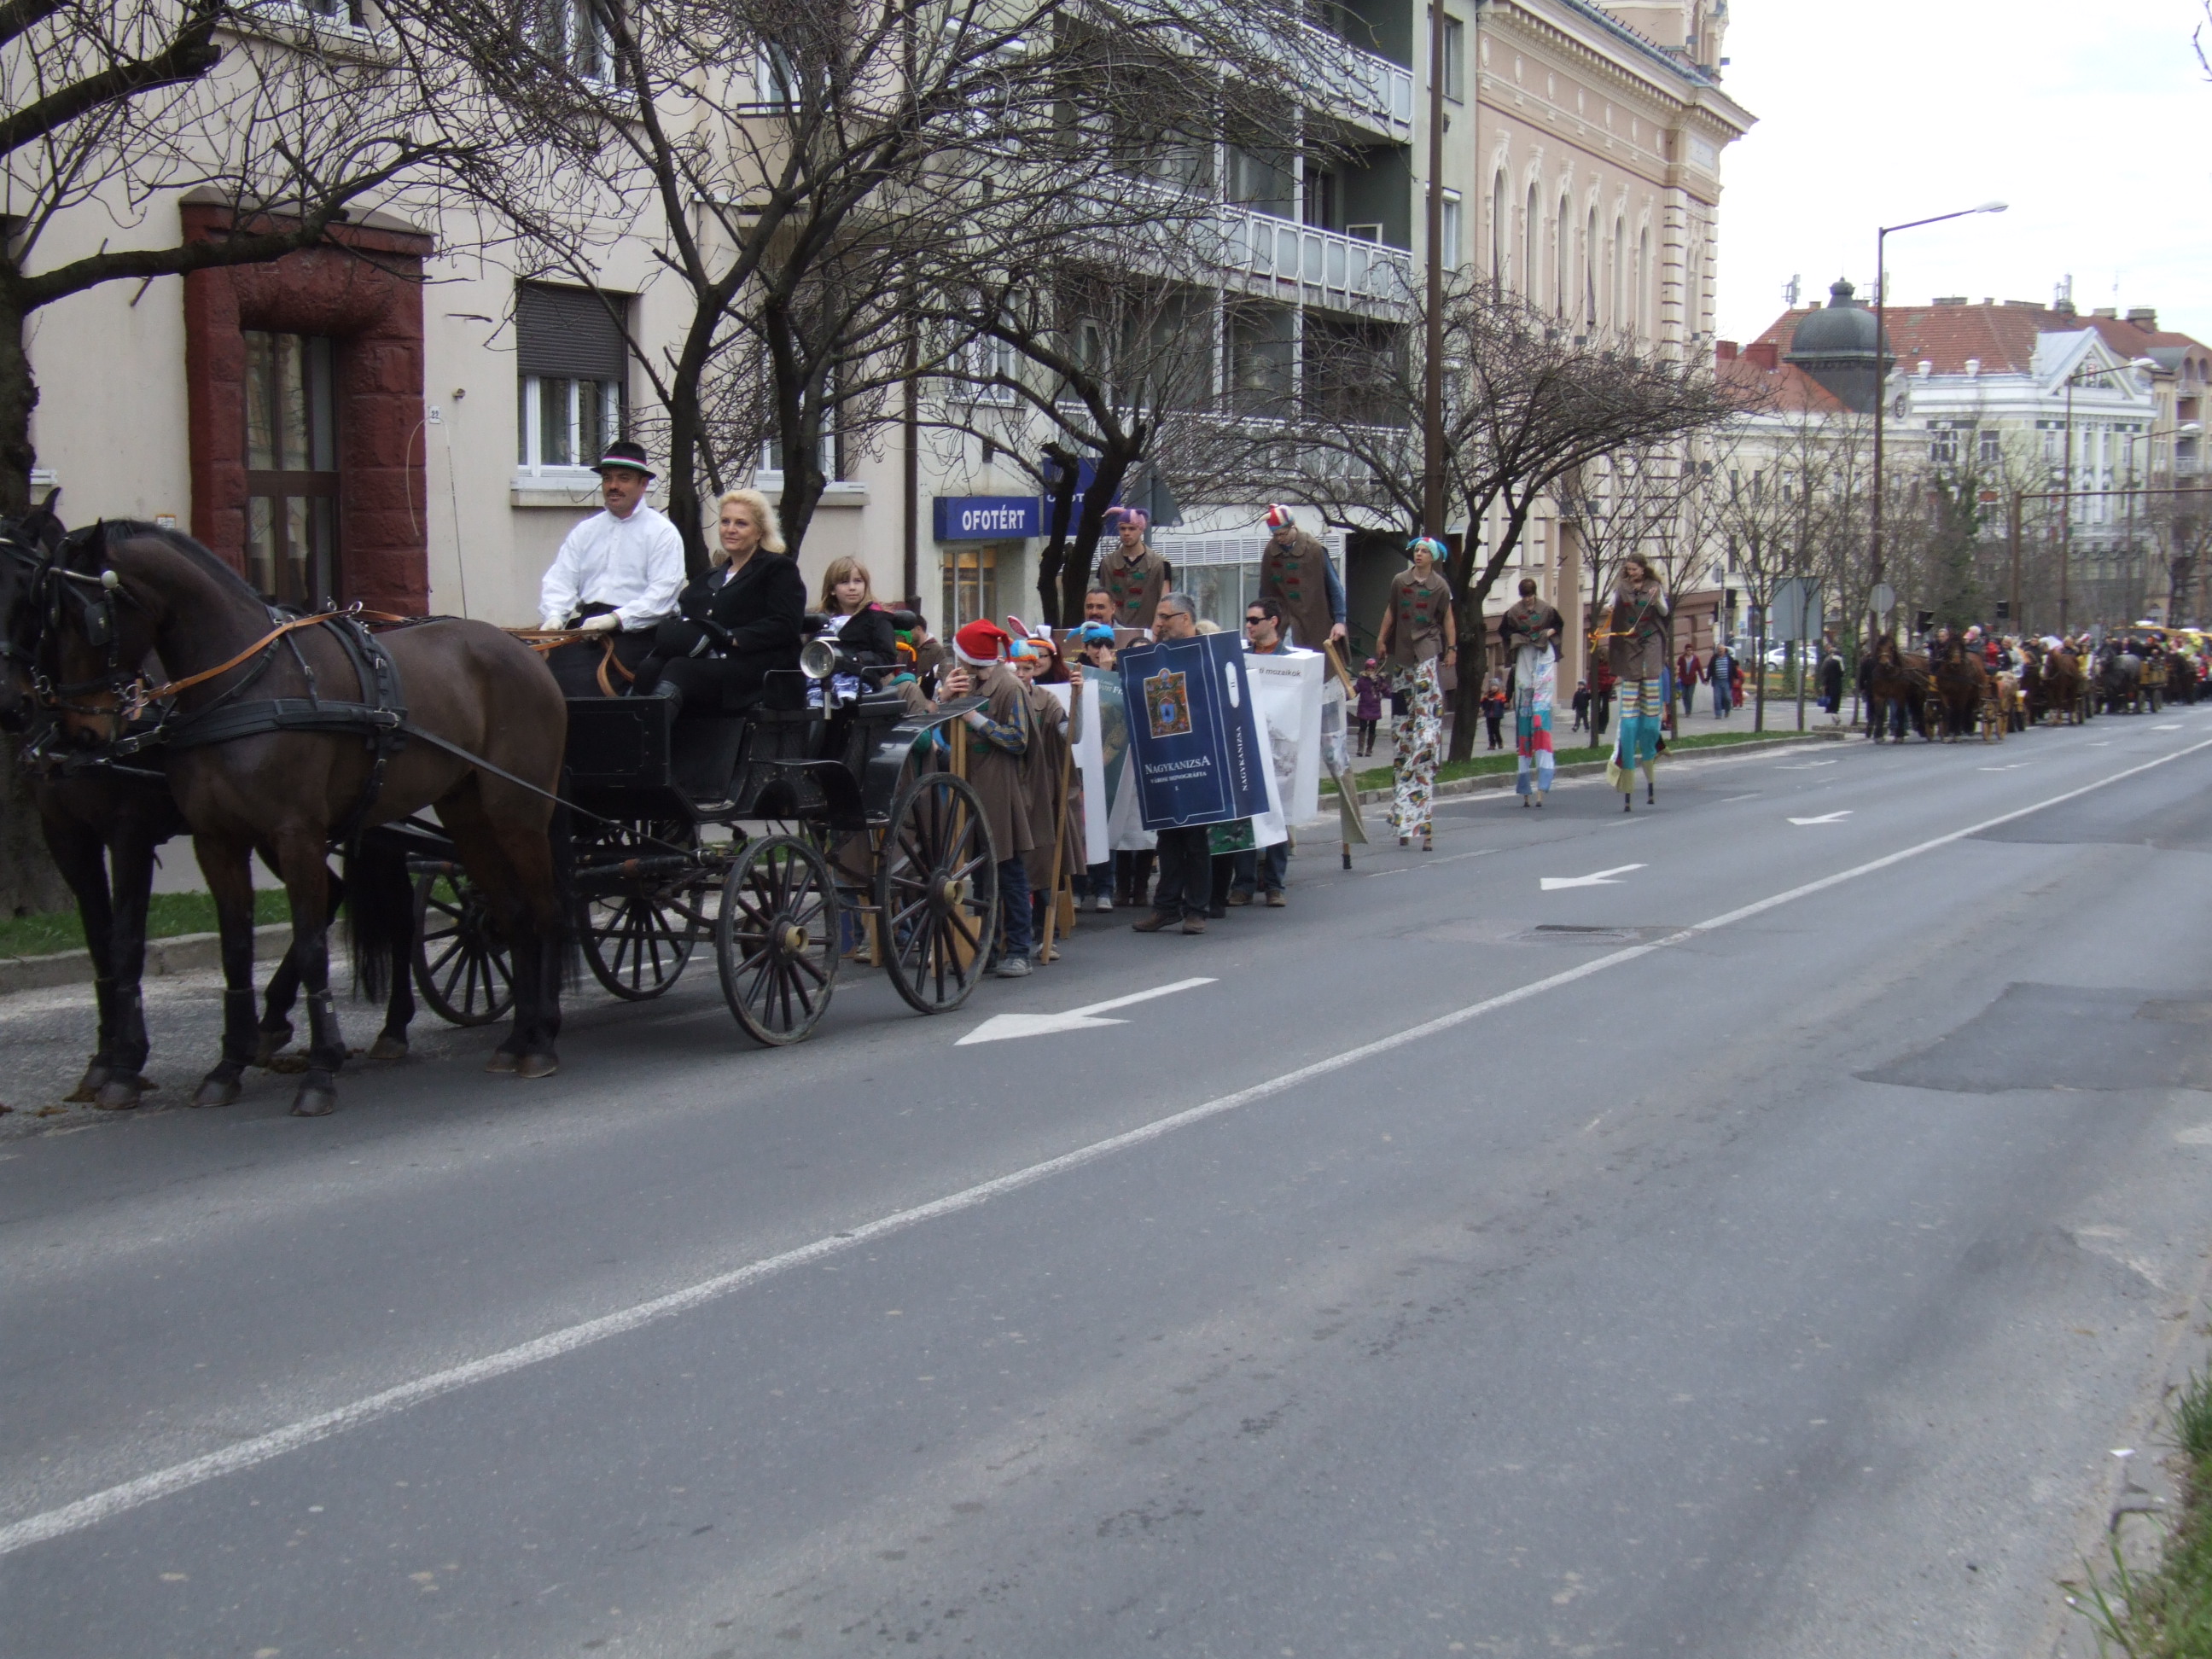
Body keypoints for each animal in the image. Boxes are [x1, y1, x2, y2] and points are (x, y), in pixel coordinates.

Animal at [25, 521, 569, 1116]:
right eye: (45, 619)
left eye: (90, 621)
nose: (82, 732)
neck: (247, 685)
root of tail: (521, 649)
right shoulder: (215, 840)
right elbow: (233, 950)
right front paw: (227, 1065)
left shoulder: (286, 835)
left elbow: (309, 947)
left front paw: (319, 1070)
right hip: (465, 815)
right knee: (507, 914)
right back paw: (514, 1038)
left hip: (516, 812)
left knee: (544, 912)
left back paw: (542, 1036)